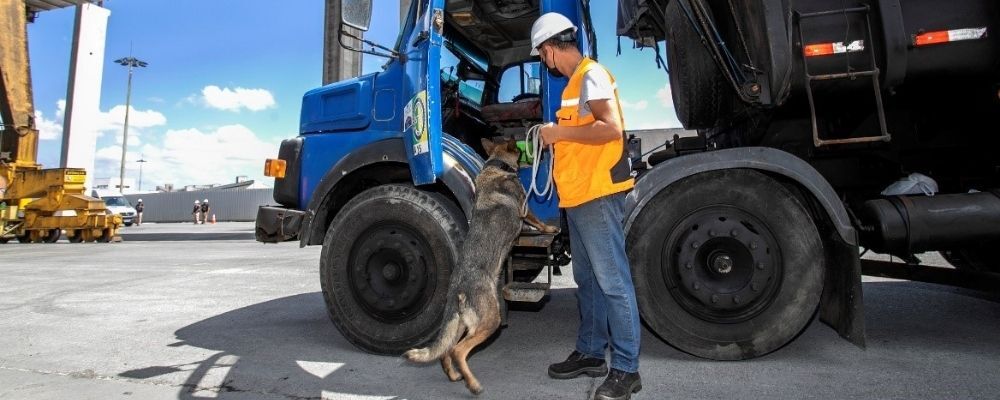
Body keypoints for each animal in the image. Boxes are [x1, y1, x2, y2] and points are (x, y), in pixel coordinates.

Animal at [406, 138, 564, 394]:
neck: (496, 166)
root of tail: (457, 289)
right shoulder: (525, 209)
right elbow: (538, 222)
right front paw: (551, 229)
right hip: (490, 320)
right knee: (458, 351)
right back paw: (473, 384)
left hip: (463, 324)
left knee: (446, 350)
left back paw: (454, 376)